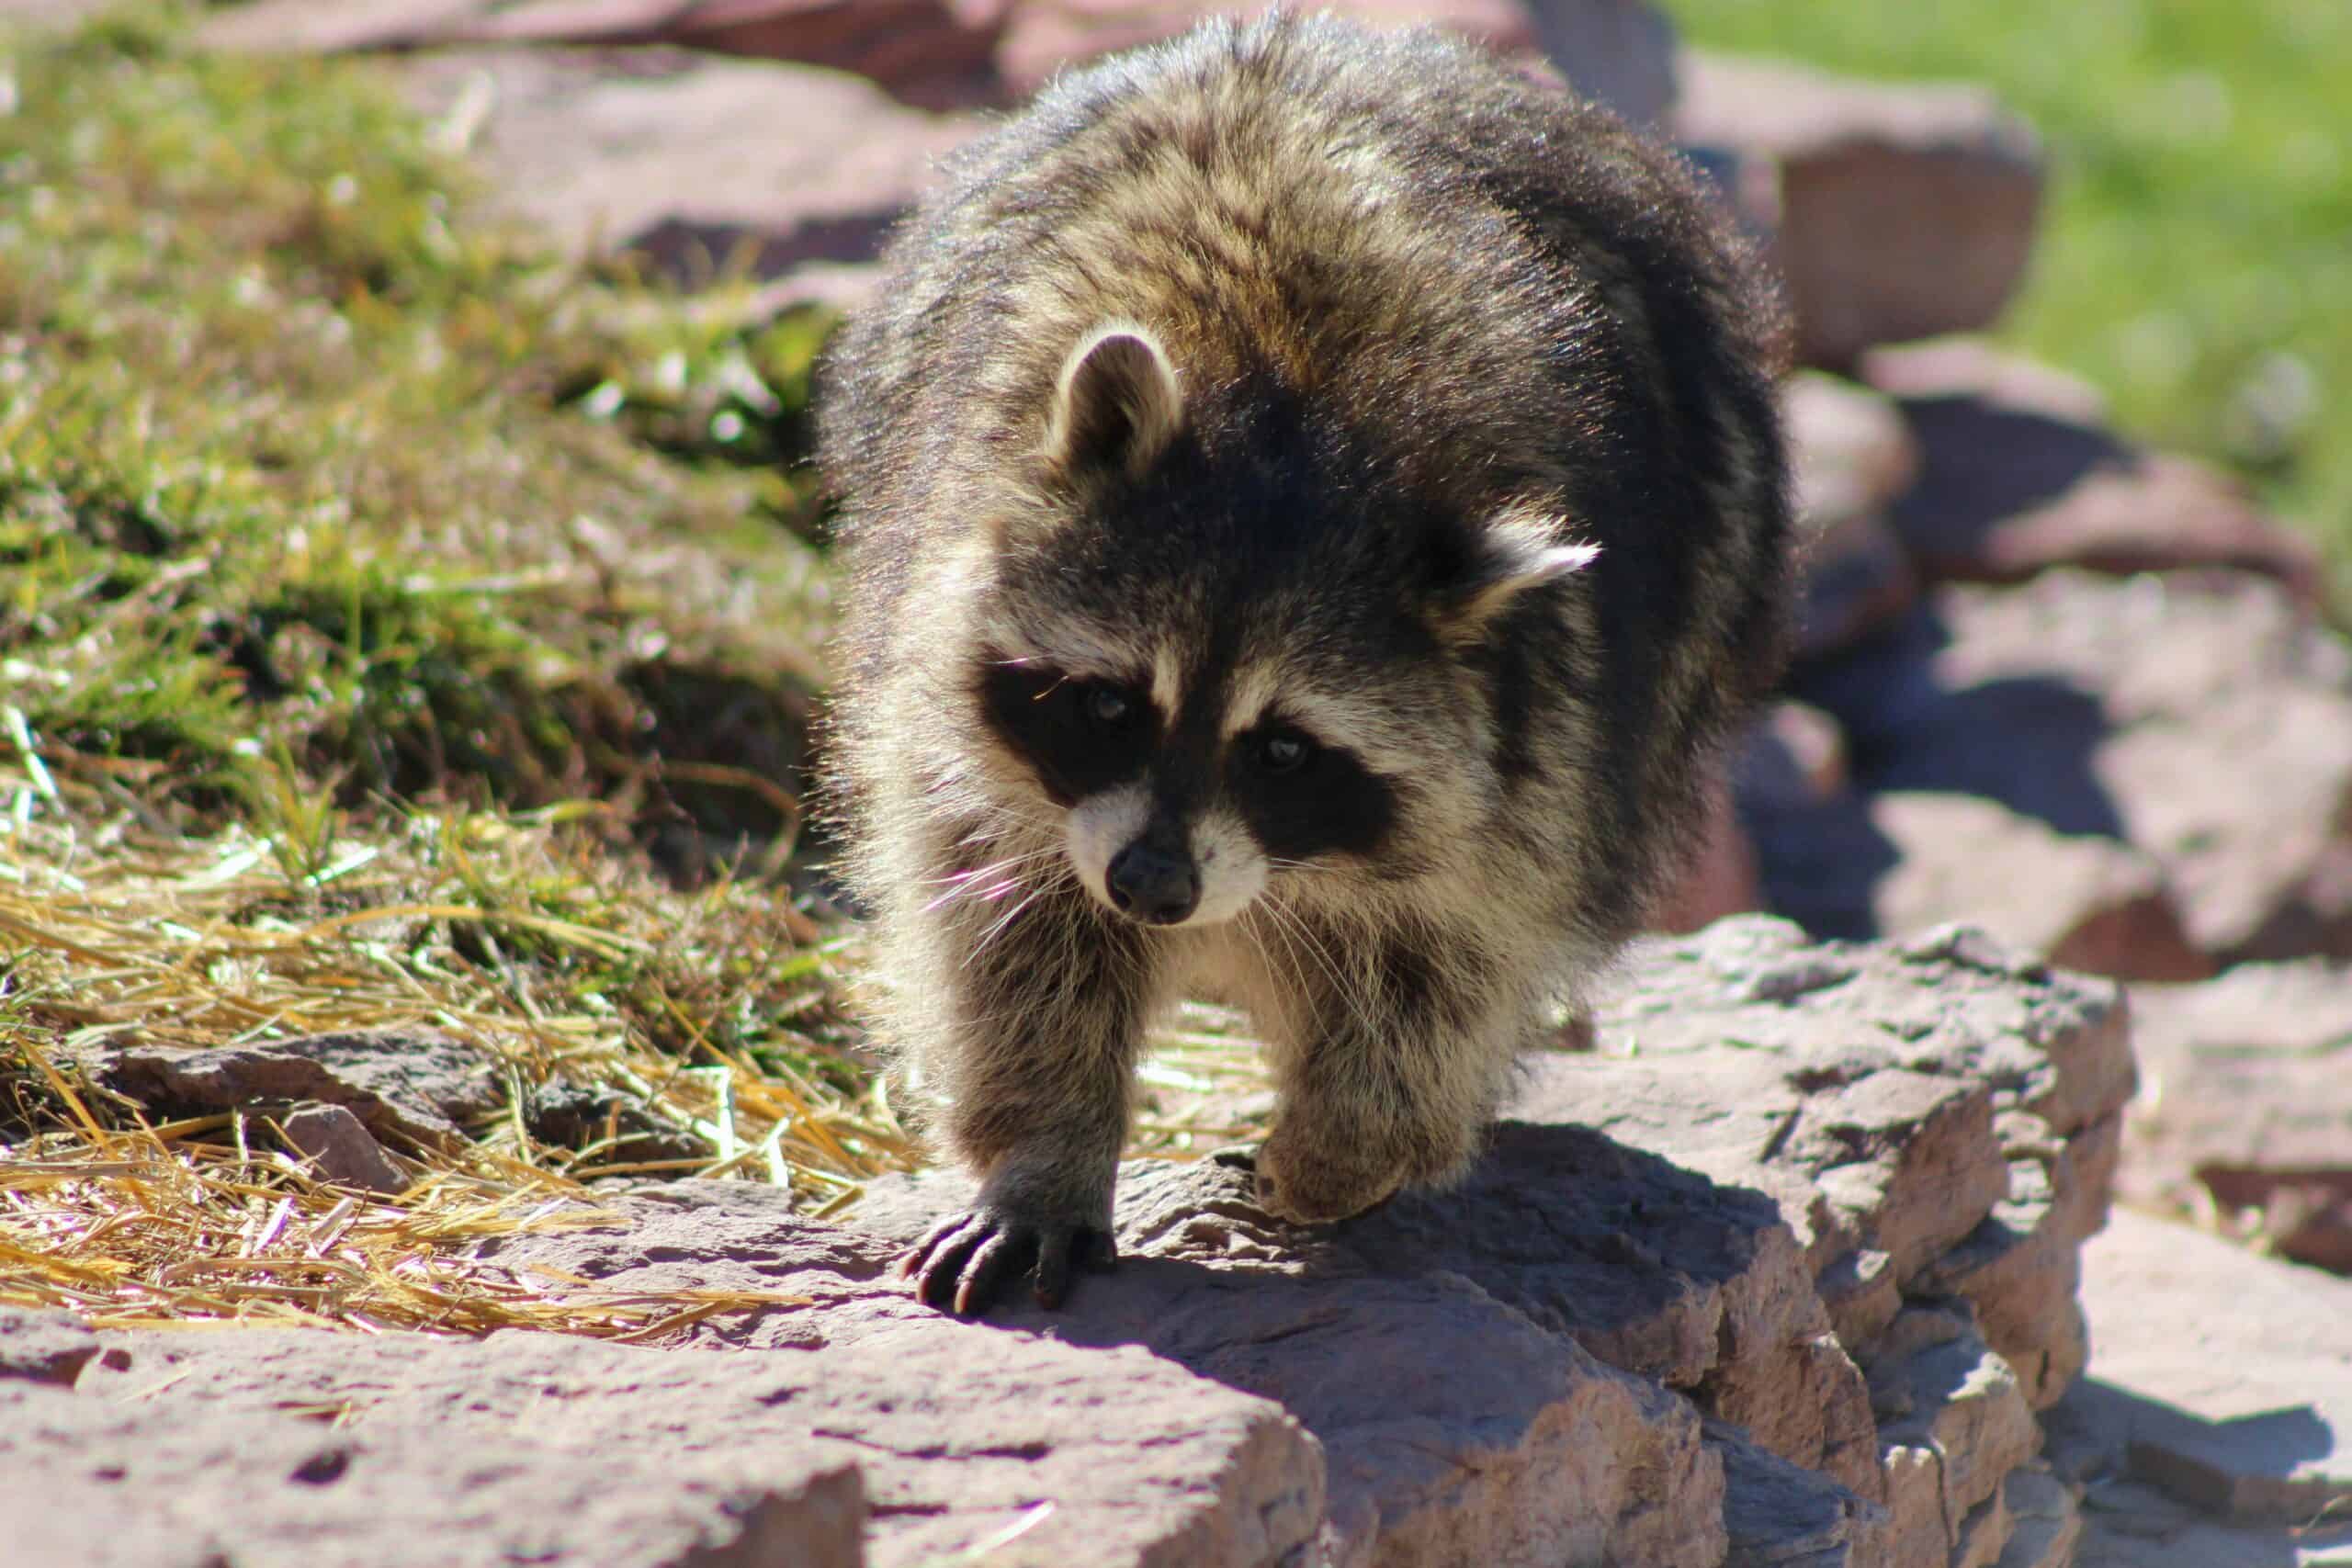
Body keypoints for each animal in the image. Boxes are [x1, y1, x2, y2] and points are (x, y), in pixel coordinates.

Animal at [819, 11, 1791, 1316]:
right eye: (1108, 704)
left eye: (1282, 749)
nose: (1152, 886)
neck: (1288, 391)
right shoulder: (958, 693)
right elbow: (1006, 924)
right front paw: (1045, 1150)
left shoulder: (1551, 710)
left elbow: (1450, 952)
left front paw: (1347, 1149)